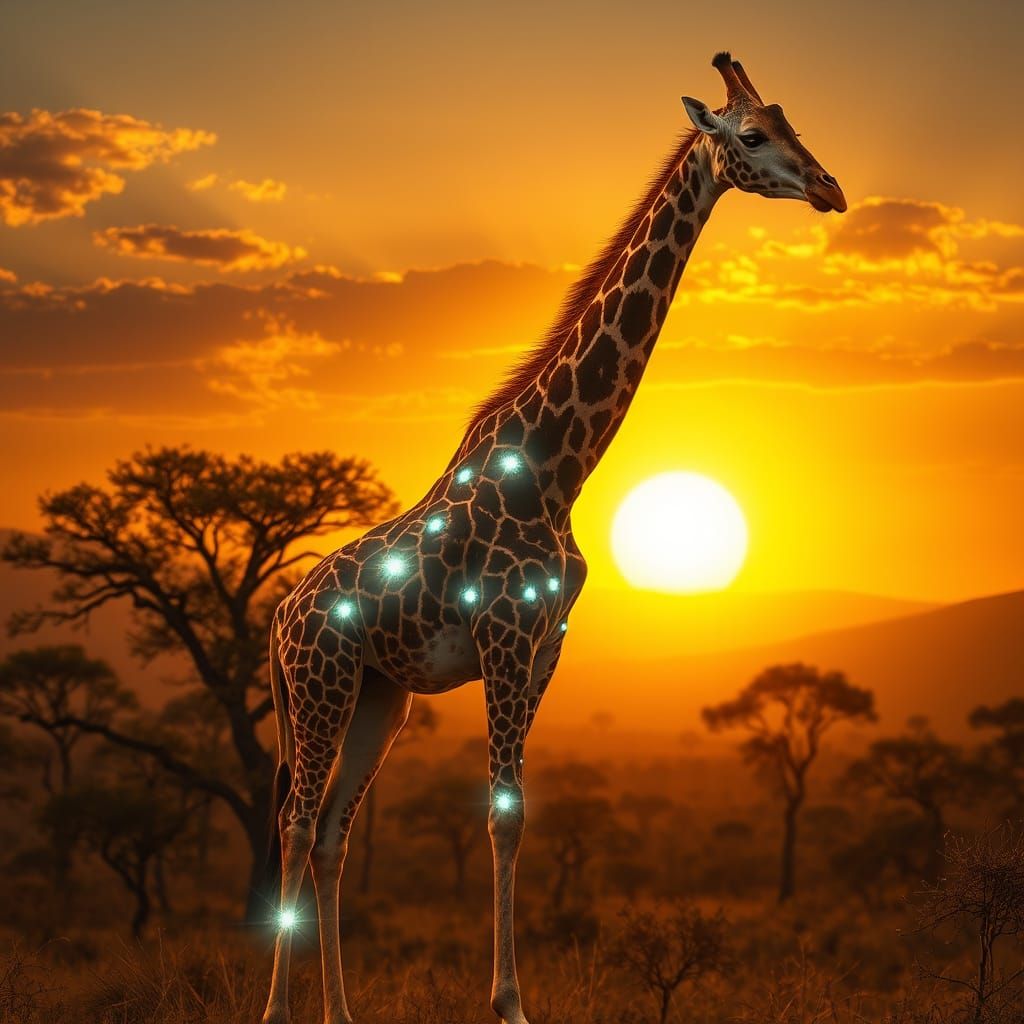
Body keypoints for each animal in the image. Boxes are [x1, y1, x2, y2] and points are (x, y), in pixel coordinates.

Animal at [260, 51, 846, 1024]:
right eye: (753, 135)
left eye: (793, 123)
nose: (832, 189)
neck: (558, 467)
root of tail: (278, 617)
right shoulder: (504, 638)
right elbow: (502, 813)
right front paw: (508, 1003)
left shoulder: (546, 648)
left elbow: (518, 813)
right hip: (320, 684)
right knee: (296, 819)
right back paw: (275, 1009)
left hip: (383, 695)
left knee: (334, 828)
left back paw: (340, 1012)